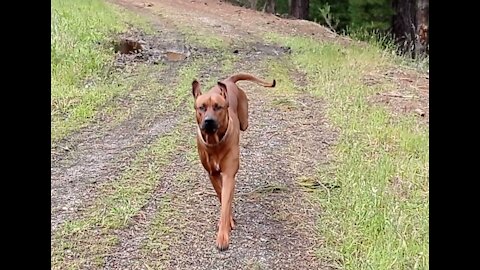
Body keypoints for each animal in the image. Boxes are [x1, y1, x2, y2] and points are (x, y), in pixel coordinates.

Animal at [190, 73, 274, 250]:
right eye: (201, 107)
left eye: (218, 107)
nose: (208, 121)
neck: (215, 142)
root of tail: (229, 80)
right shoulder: (213, 174)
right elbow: (221, 197)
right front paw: (229, 221)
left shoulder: (229, 174)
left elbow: (225, 201)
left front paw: (223, 236)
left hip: (244, 121)